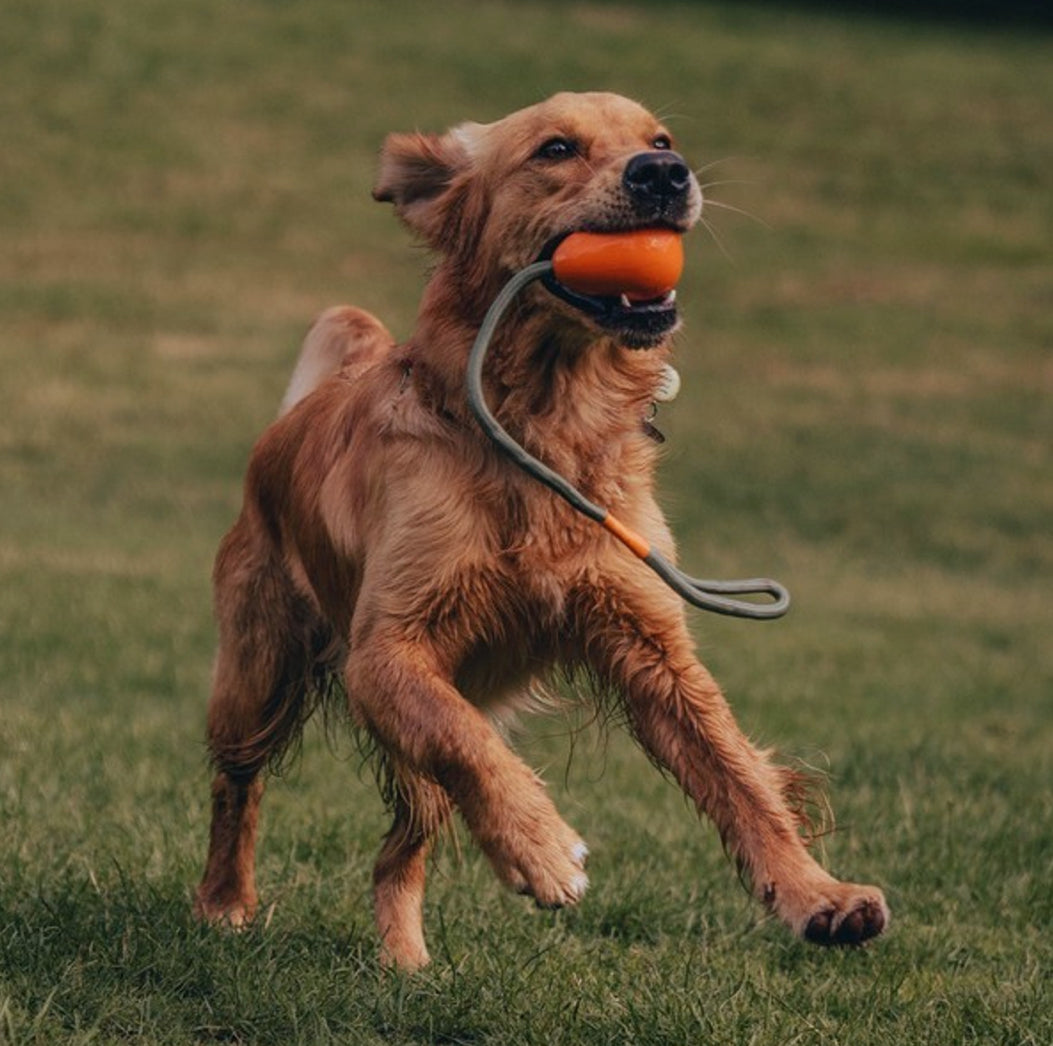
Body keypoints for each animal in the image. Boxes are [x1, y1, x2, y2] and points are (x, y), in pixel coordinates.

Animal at [191, 91, 888, 973]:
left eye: (662, 138)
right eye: (555, 149)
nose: (664, 174)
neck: (544, 424)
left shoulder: (650, 643)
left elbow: (740, 778)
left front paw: (816, 895)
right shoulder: (384, 653)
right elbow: (468, 745)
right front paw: (542, 849)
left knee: (398, 849)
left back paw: (405, 962)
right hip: (257, 672)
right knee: (237, 787)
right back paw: (224, 902)